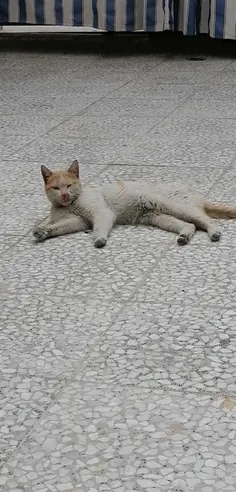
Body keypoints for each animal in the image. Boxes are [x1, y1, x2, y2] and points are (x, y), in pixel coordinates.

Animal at [32, 160, 236, 248]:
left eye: (69, 185)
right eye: (56, 188)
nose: (65, 194)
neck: (69, 206)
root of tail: (197, 195)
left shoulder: (101, 214)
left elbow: (99, 228)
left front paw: (99, 239)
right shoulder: (79, 221)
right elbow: (57, 227)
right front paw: (42, 231)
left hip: (179, 207)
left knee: (207, 220)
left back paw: (214, 234)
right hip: (159, 217)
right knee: (190, 225)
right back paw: (184, 237)